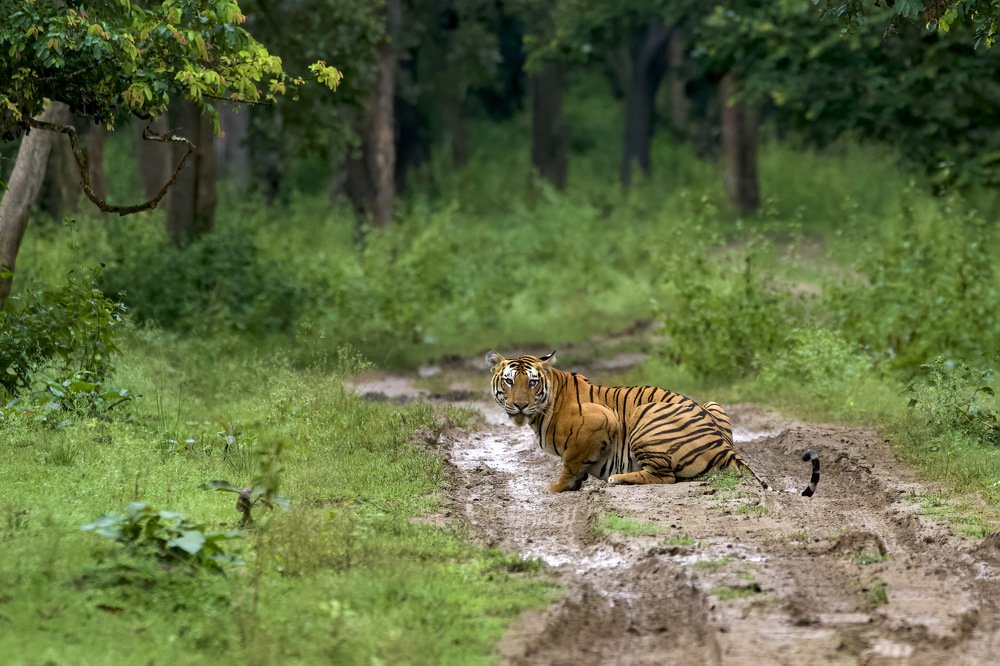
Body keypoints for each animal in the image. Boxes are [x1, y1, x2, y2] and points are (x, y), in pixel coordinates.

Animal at [486, 350, 820, 496]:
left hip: (644, 418)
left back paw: (618, 479)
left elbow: (570, 462)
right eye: (509, 381)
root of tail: (724, 444)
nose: (520, 404)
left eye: (531, 382)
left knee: (666, 477)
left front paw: (558, 487)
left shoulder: (599, 420)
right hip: (713, 403)